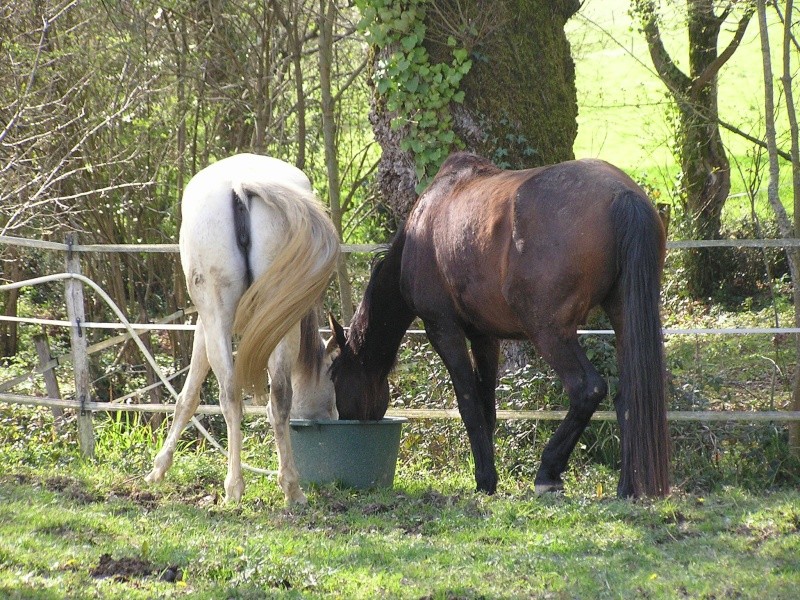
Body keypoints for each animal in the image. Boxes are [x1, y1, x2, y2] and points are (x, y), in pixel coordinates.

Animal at [145, 152, 340, 504]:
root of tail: (241, 184)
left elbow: (188, 396)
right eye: (332, 384)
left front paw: (159, 467)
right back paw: (292, 488)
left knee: (230, 394)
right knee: (279, 397)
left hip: (217, 314)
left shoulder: (203, 325)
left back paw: (234, 486)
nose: (332, 418)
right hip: (280, 321)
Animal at [328, 151, 672, 496]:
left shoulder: (443, 330)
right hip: (622, 319)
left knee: (587, 389)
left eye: (333, 375)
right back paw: (627, 487)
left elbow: (469, 405)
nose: (345, 420)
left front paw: (484, 479)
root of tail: (622, 195)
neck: (422, 227)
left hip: (549, 332)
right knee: (628, 397)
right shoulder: (485, 338)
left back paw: (548, 472)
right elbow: (487, 409)